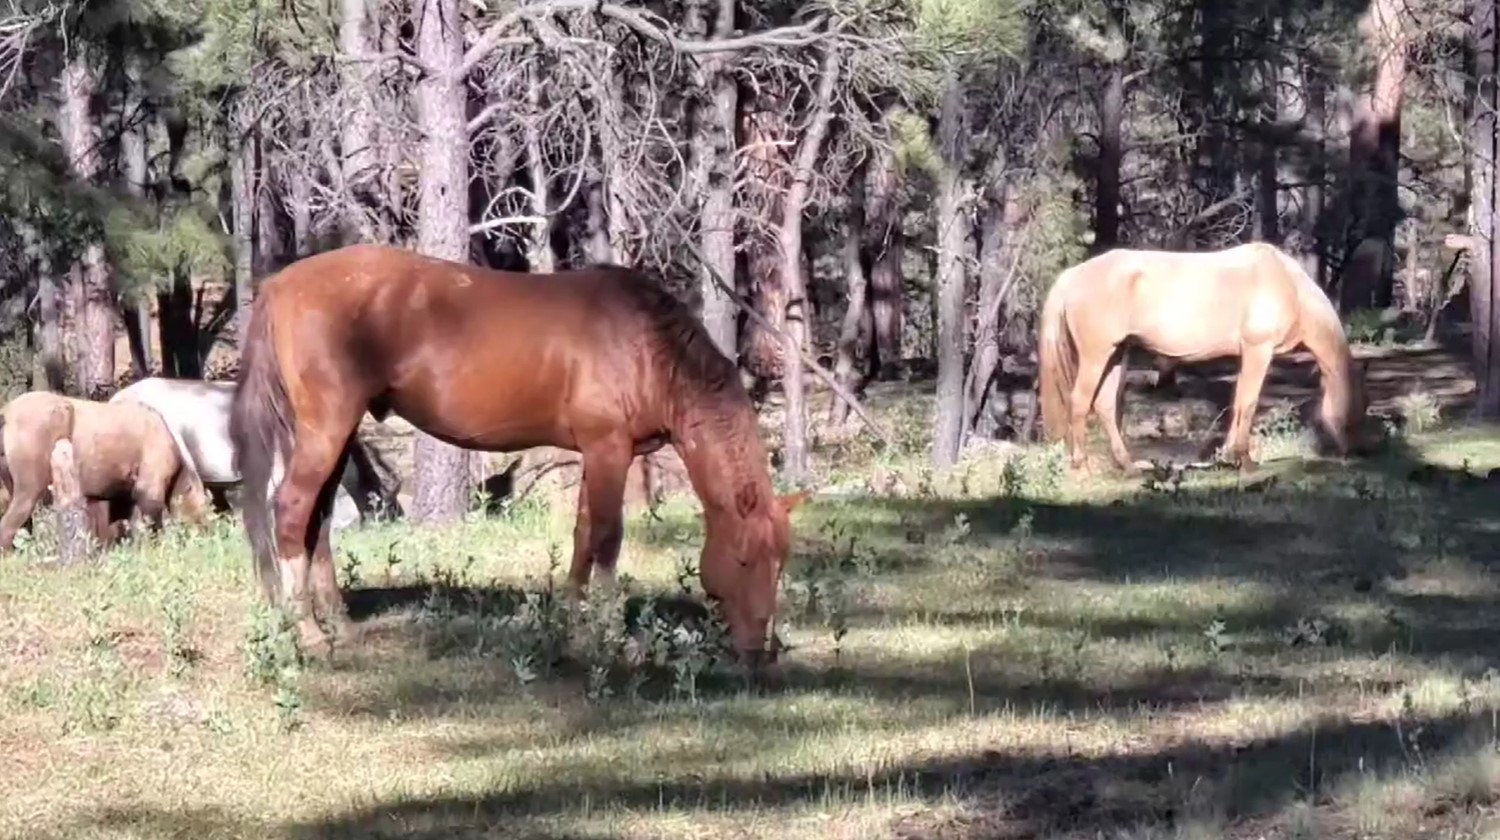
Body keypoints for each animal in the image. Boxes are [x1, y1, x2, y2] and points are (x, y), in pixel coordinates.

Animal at [0, 390, 210, 551]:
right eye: (204, 515)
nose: (206, 533)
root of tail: (6, 413)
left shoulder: (121, 480)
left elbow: (118, 514)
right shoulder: (153, 458)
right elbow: (150, 503)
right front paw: (153, 543)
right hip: (37, 441)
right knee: (26, 497)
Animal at [229, 243, 809, 667]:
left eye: (780, 562)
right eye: (743, 558)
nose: (760, 651)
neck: (646, 345)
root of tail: (279, 285)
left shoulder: (598, 453)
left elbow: (583, 534)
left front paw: (573, 624)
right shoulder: (609, 448)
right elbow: (607, 537)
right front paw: (609, 632)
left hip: (339, 433)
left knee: (320, 520)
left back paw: (338, 625)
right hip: (325, 430)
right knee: (292, 511)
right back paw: (306, 632)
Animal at [1037, 242, 1374, 473]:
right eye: (1360, 406)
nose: (1357, 452)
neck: (1287, 284)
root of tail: (1072, 275)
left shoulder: (1248, 354)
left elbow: (1237, 402)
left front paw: (1229, 456)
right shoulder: (1258, 350)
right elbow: (1249, 402)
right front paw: (1245, 460)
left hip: (1117, 353)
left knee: (1105, 406)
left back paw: (1129, 466)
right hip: (1096, 355)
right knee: (1079, 402)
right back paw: (1082, 466)